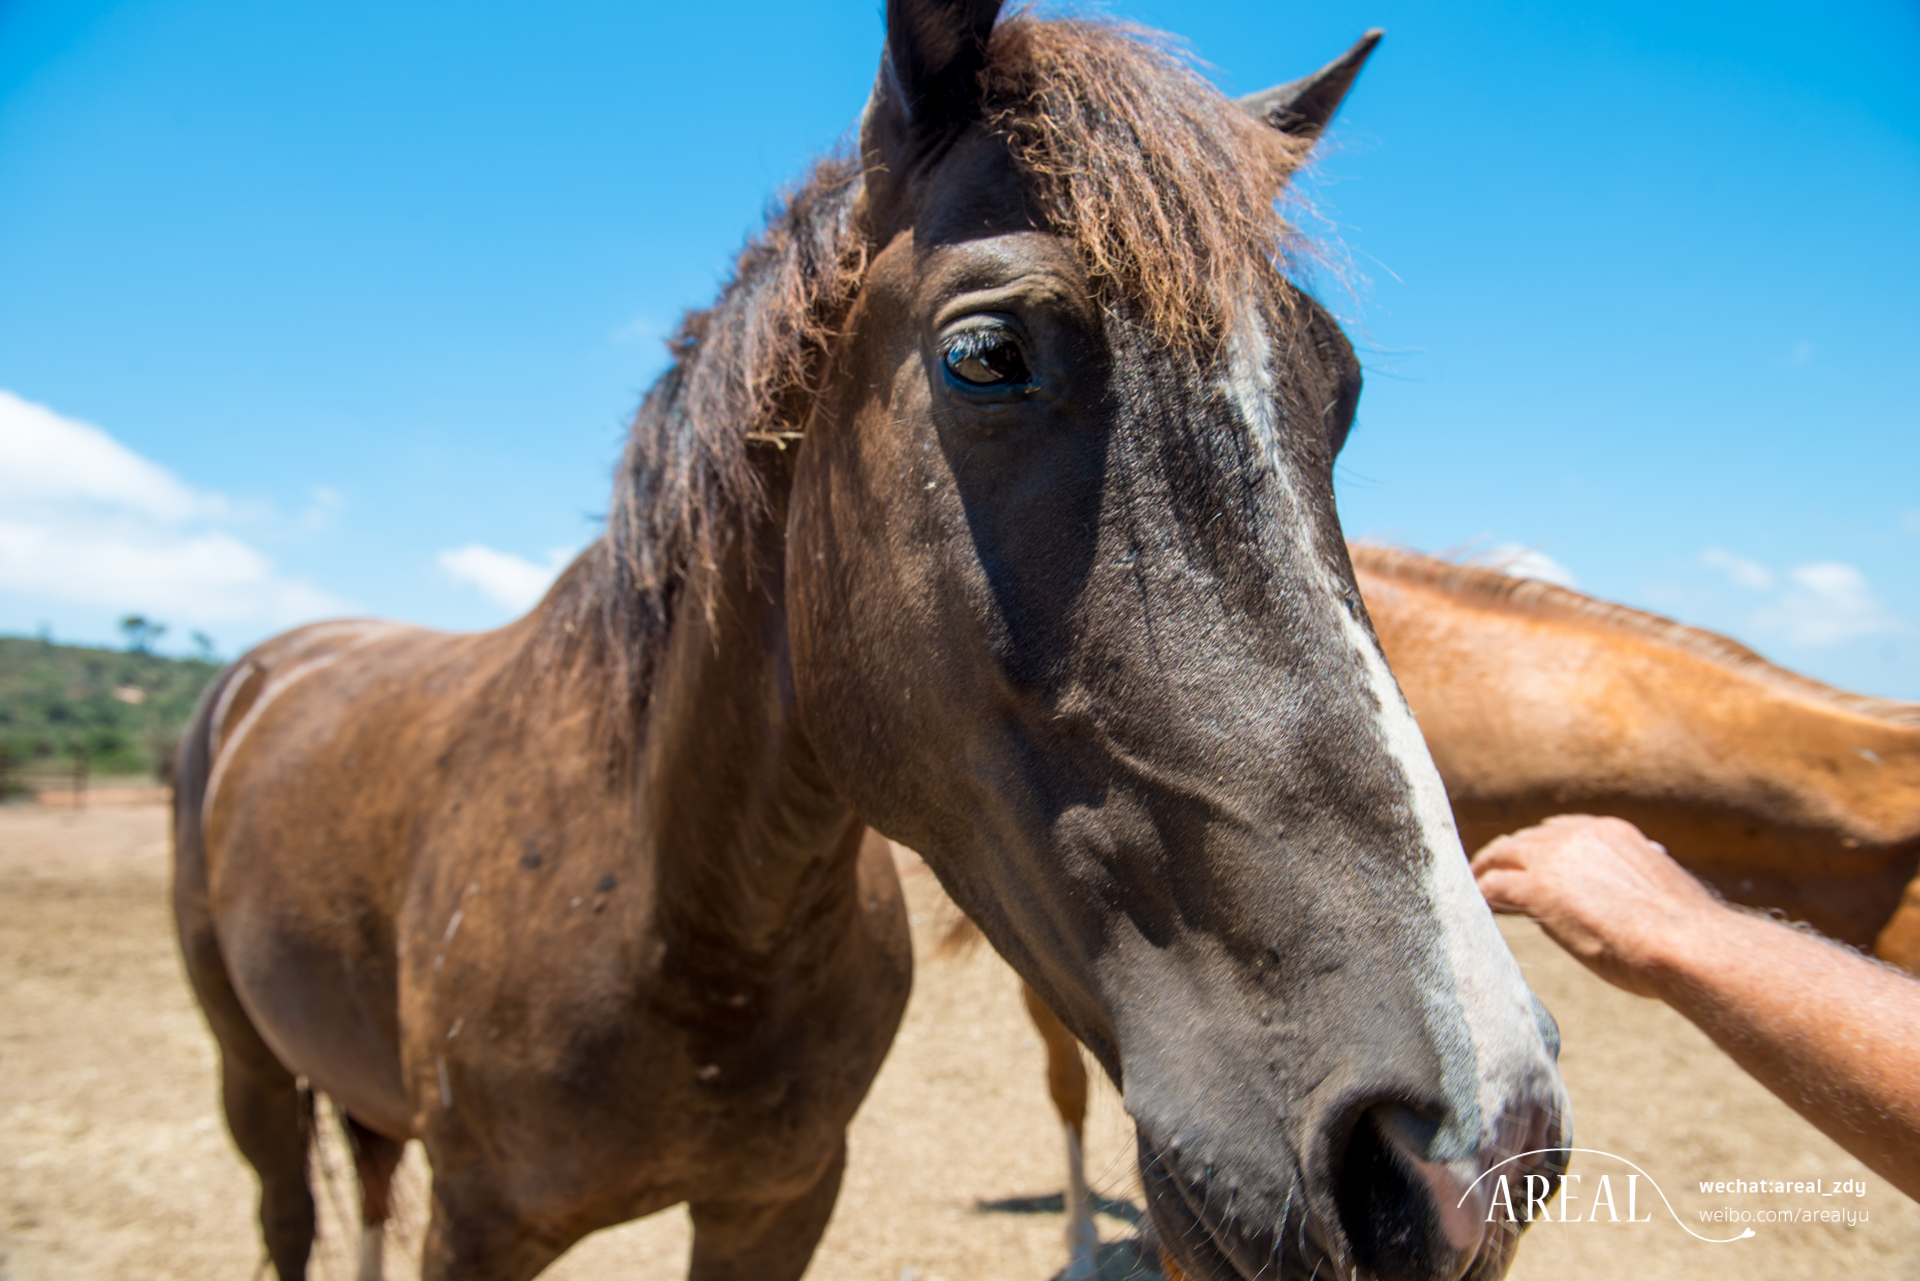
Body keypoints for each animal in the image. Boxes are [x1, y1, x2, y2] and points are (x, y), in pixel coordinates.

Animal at [172, 10, 1566, 1281]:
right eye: (985, 355)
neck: (686, 924)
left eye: (1343, 390)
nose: (1474, 1151)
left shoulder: (778, 1207)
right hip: (249, 1076)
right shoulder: (478, 1229)